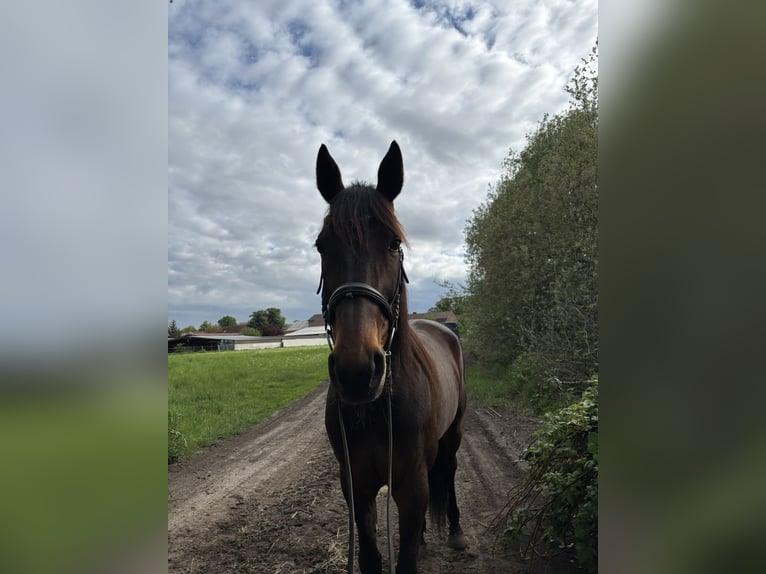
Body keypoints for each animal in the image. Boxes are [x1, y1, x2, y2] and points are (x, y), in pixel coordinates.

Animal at [314, 141, 468, 574]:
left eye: (393, 244)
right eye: (322, 246)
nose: (356, 371)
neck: (378, 407)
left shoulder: (412, 486)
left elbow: (406, 561)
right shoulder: (357, 487)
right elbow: (371, 557)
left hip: (454, 433)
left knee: (449, 471)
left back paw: (454, 530)